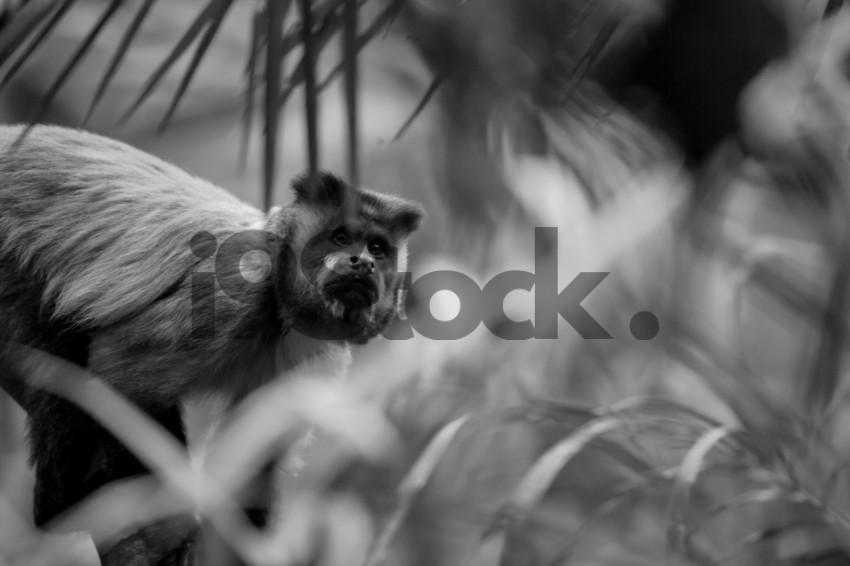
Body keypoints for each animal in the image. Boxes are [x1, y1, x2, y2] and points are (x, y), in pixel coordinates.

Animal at [0, 124, 424, 563]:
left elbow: (260, 459)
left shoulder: (320, 351)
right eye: (341, 238)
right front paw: (167, 527)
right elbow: (122, 380)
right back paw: (60, 509)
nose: (363, 262)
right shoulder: (240, 283)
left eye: (377, 248)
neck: (279, 308)